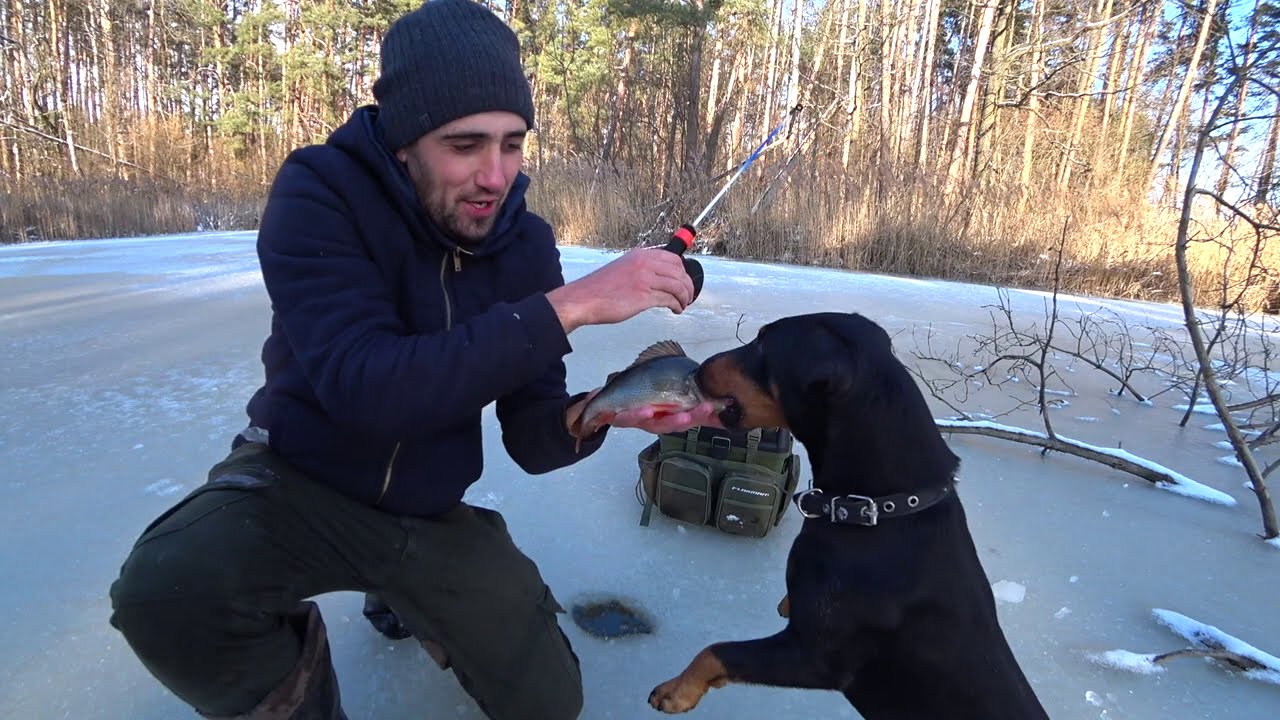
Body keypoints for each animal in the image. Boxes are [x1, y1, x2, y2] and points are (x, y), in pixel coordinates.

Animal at [650, 312, 1049, 717]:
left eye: (763, 344)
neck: (880, 509)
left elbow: (716, 652)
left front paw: (676, 691)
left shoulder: (816, 660)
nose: (699, 369)